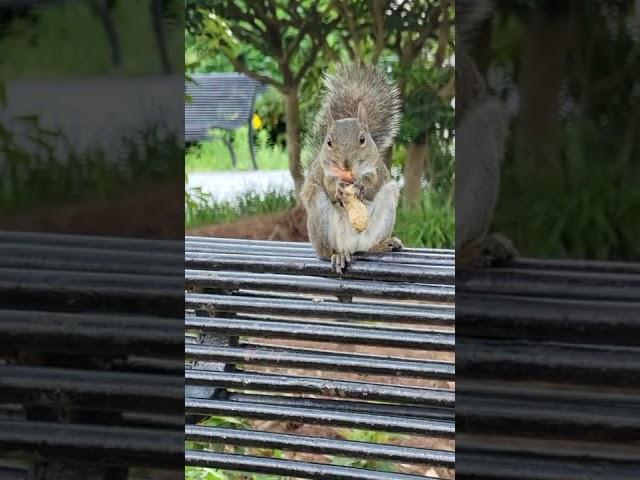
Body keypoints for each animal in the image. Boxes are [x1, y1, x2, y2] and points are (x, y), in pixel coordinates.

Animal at [302, 64, 402, 274]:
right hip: (320, 215)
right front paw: (339, 189)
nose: (345, 164)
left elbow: (373, 185)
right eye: (328, 142)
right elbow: (330, 187)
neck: (351, 174)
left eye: (363, 139)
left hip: (386, 204)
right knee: (328, 251)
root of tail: (351, 246)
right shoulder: (323, 173)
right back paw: (337, 255)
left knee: (368, 246)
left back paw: (382, 245)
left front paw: (362, 187)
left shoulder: (377, 170)